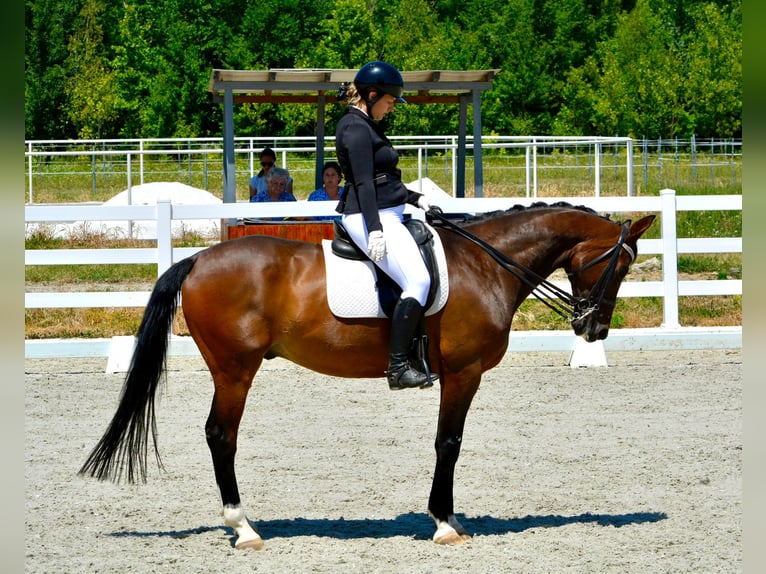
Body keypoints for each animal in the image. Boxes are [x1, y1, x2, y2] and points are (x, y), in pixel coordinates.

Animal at [79, 201, 655, 550]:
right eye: (621, 266)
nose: (595, 328)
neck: (487, 264)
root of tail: (198, 260)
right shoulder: (463, 373)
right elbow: (449, 443)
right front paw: (444, 523)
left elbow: (448, 443)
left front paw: (448, 518)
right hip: (234, 369)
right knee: (221, 436)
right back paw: (244, 528)